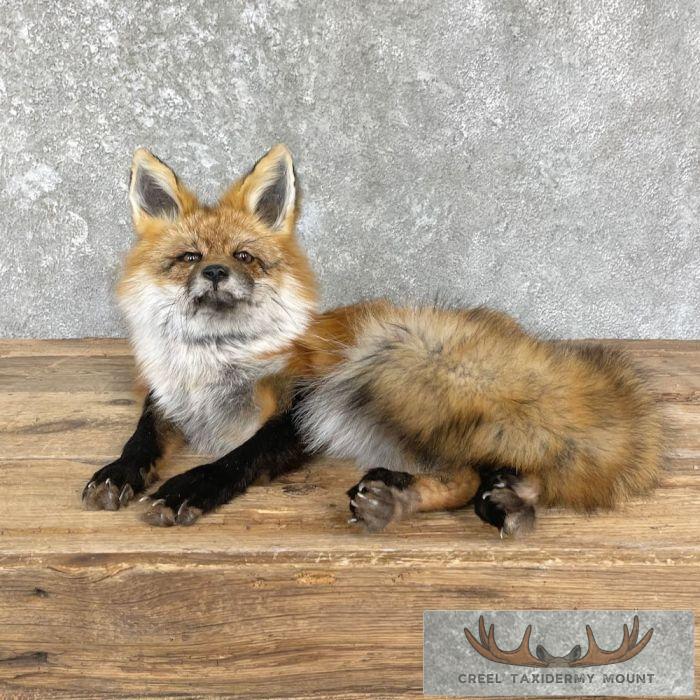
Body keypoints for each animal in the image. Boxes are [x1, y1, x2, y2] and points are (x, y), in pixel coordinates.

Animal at [82, 144, 664, 536]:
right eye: (190, 257)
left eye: (244, 256)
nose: (217, 273)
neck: (214, 364)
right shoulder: (166, 398)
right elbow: (141, 437)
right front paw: (119, 471)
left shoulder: (301, 405)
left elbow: (237, 458)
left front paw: (191, 486)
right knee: (482, 475)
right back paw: (483, 503)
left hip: (383, 367)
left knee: (486, 470)